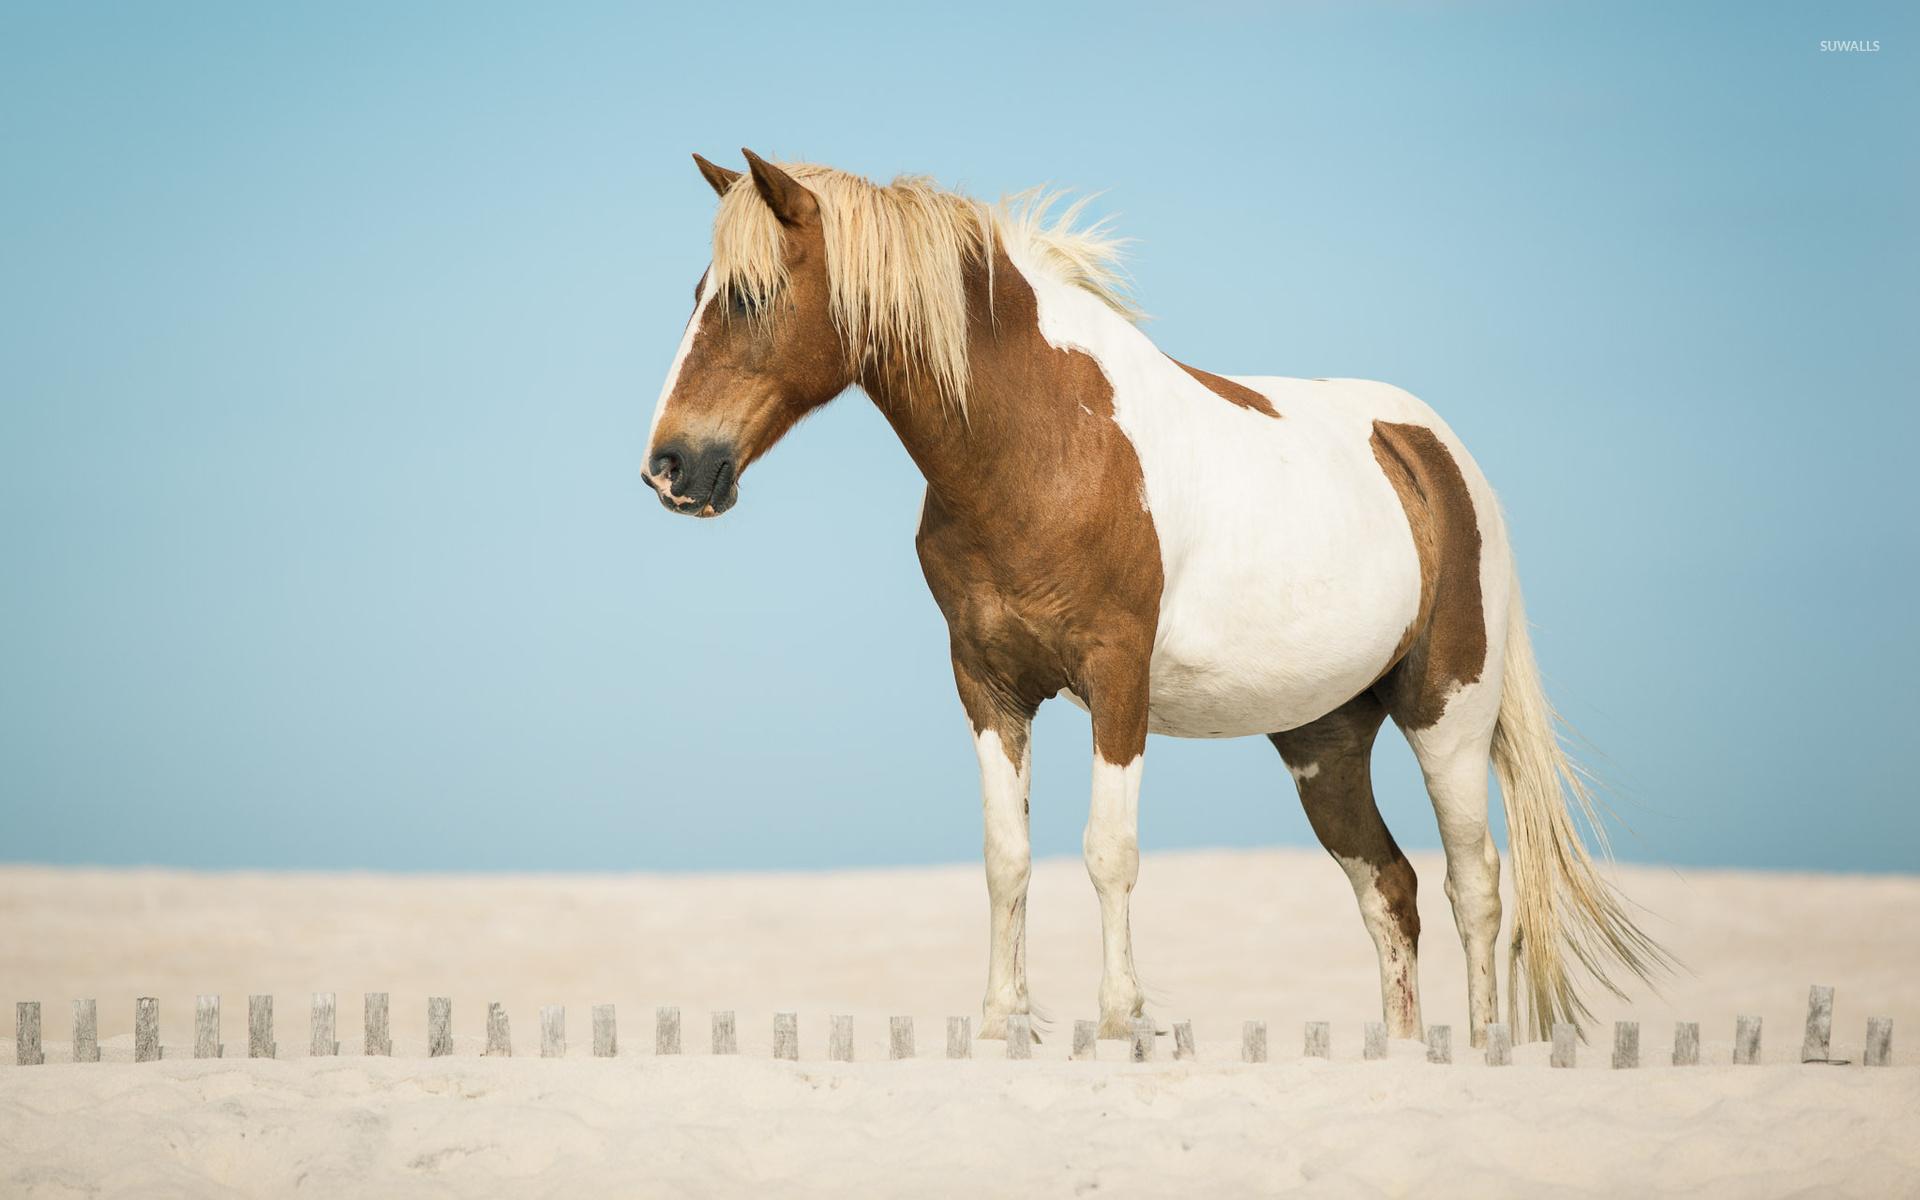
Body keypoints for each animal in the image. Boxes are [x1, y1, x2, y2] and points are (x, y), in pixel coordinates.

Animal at [642, 150, 1666, 1045]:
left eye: (748, 296)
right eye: (698, 294)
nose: (671, 467)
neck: (1044, 444)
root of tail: (1435, 452)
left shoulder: (1117, 679)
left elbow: (1109, 853)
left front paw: (1120, 1023)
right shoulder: (986, 685)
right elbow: (1006, 859)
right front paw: (1000, 1025)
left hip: (1448, 712)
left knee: (1475, 884)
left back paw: (1486, 1043)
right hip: (1325, 742)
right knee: (1390, 891)